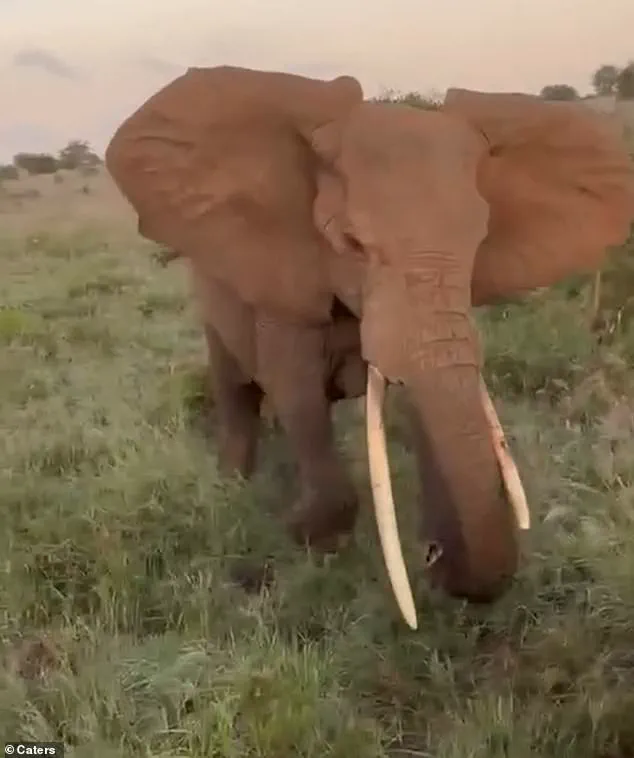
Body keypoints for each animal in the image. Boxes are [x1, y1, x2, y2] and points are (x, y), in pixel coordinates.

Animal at [104, 65, 634, 628]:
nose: (432, 555)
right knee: (235, 387)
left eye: (479, 240)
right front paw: (307, 534)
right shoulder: (289, 287)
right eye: (353, 244)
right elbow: (295, 393)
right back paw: (234, 484)